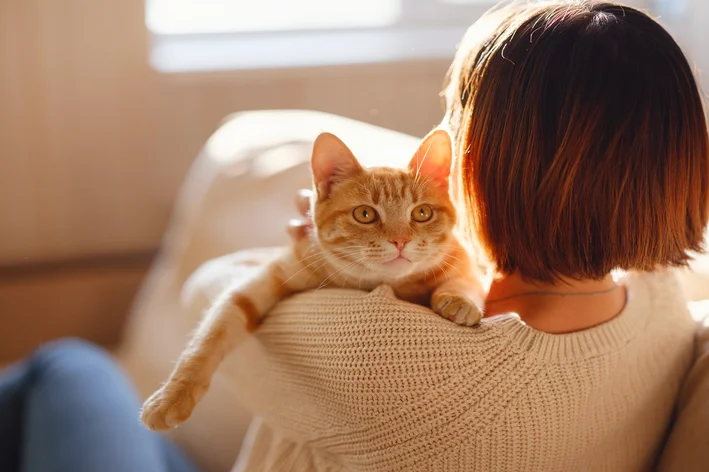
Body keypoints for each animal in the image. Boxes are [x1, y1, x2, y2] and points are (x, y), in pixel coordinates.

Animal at [140, 129, 482, 432]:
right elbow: (210, 337)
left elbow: (465, 280)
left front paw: (459, 300)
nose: (400, 241)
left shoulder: (462, 259)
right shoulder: (265, 280)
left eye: (422, 213)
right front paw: (171, 397)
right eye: (365, 214)